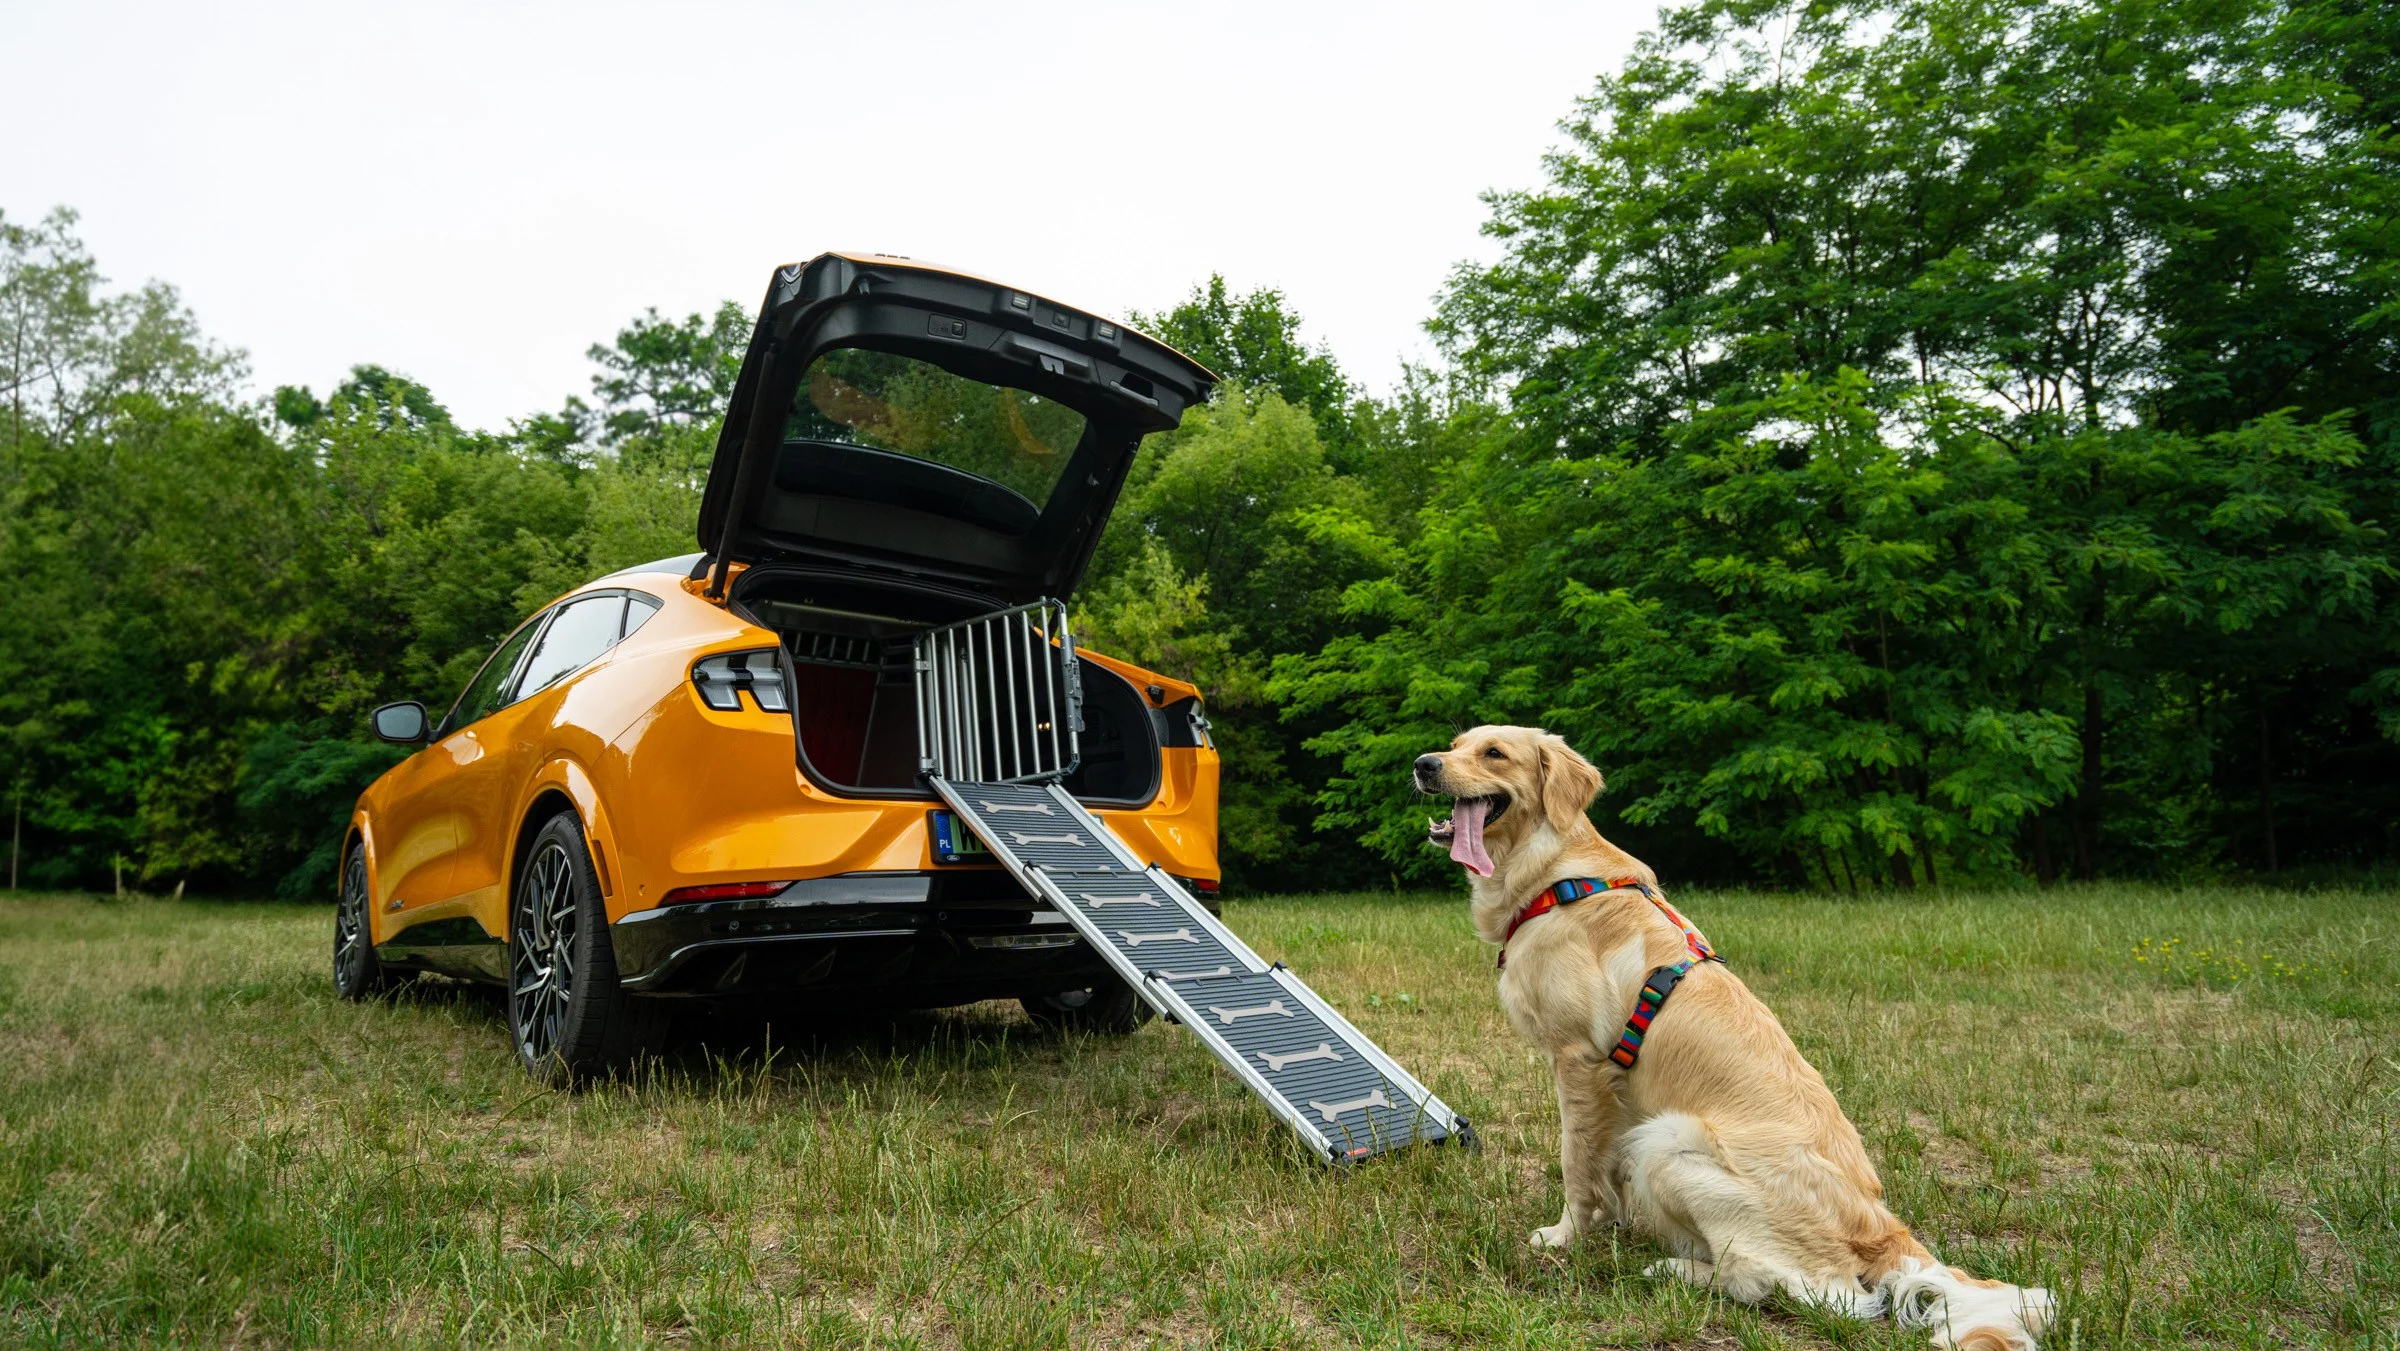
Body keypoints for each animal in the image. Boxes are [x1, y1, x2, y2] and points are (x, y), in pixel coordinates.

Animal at [1411, 729, 2054, 1351]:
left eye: (1494, 752)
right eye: (1456, 742)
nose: (1423, 764)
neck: (1554, 874)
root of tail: (1881, 1227)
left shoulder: (1578, 1062)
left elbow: (1576, 1163)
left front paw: (1565, 1236)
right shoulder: (1613, 1086)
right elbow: (1602, 1170)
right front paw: (1607, 1225)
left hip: (1670, 1143)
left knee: (1800, 1287)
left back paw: (1673, 1270)